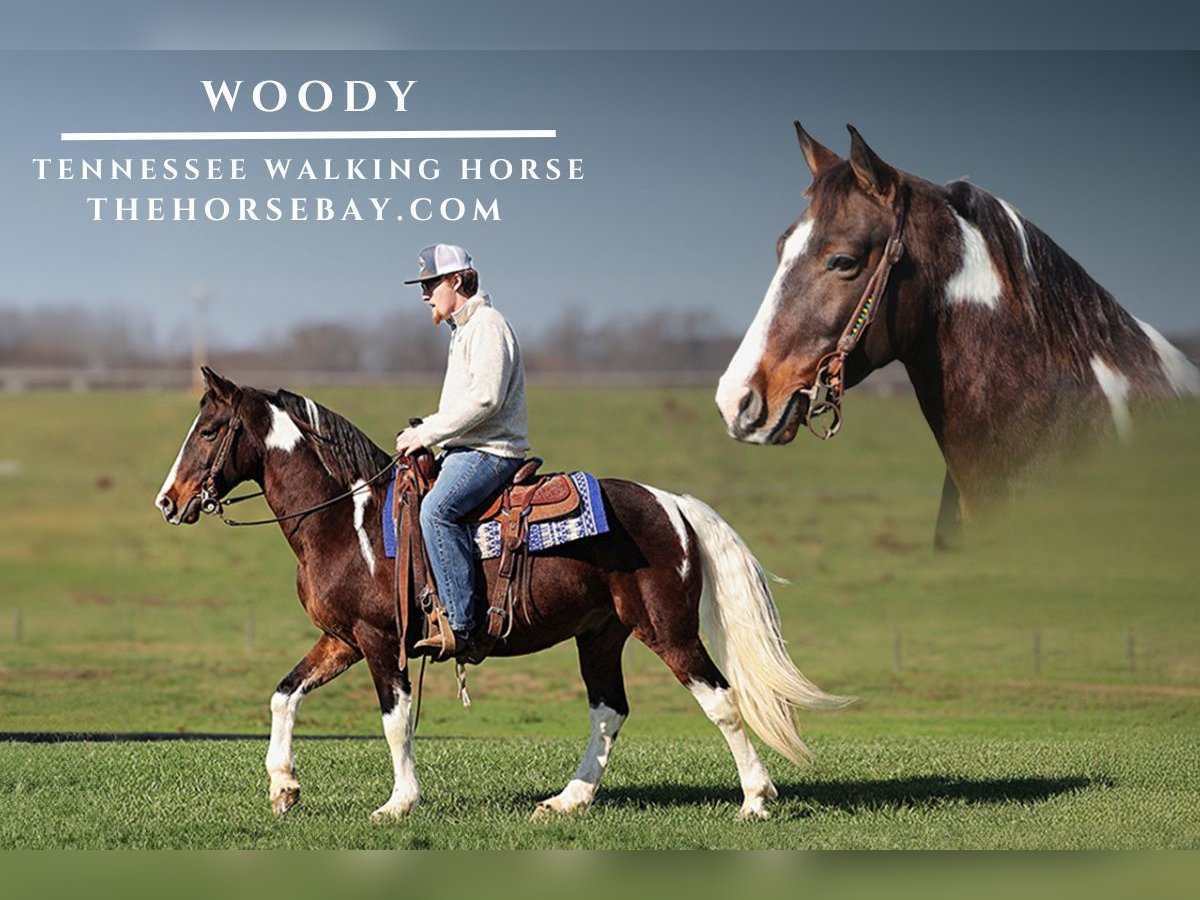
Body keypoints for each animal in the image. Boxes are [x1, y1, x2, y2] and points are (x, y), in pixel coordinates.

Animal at [154, 367, 844, 825]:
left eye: (209, 430)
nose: (168, 501)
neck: (345, 522)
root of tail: (670, 504)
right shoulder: (342, 639)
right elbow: (284, 695)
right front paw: (283, 787)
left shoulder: (381, 642)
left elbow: (395, 721)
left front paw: (398, 803)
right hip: (601, 635)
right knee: (608, 711)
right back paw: (568, 800)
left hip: (668, 630)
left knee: (721, 702)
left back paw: (755, 800)